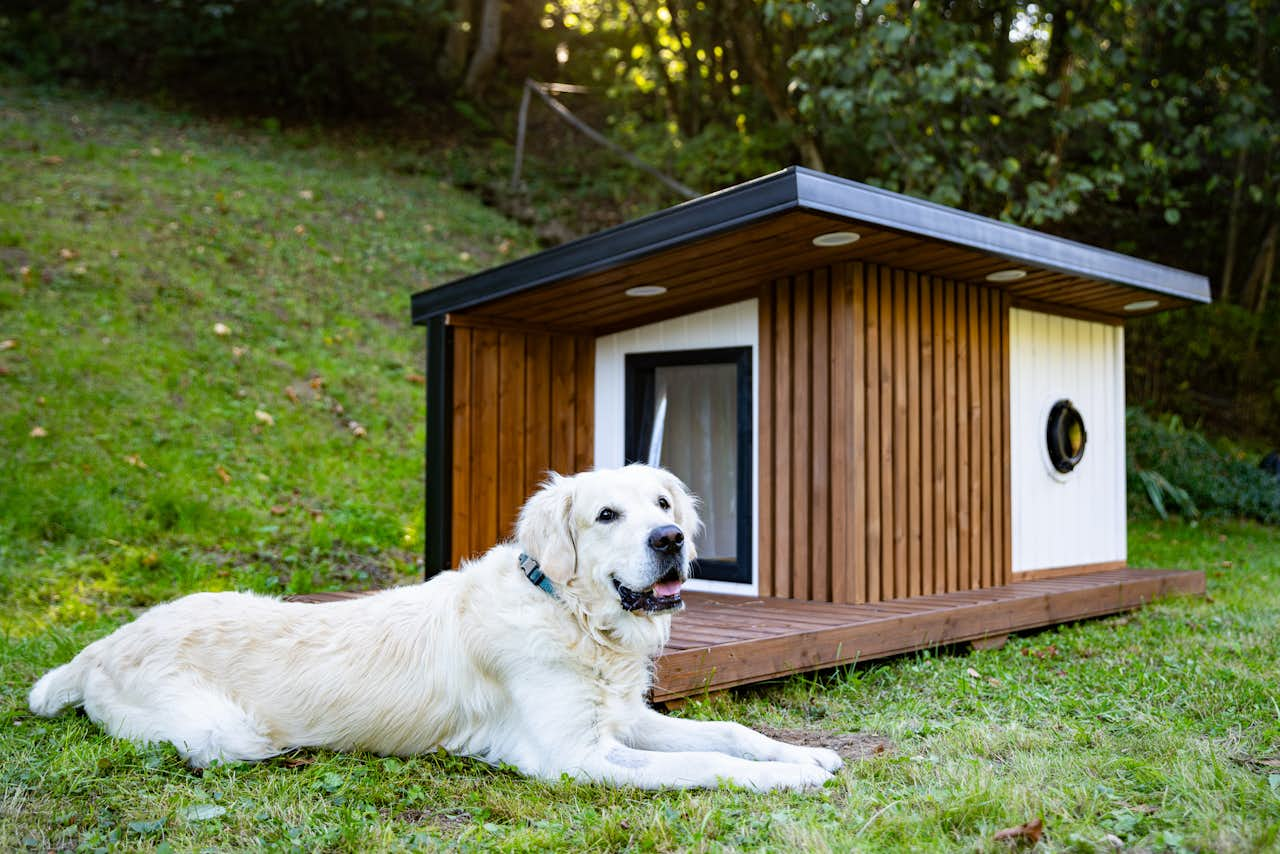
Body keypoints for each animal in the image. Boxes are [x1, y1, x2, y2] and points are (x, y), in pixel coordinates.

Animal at [27, 463, 839, 793]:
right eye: (607, 514)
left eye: (664, 504)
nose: (669, 541)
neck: (569, 614)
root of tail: (104, 642)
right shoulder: (574, 756)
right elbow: (702, 762)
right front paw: (786, 779)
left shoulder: (621, 718)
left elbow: (727, 733)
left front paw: (804, 754)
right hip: (227, 733)